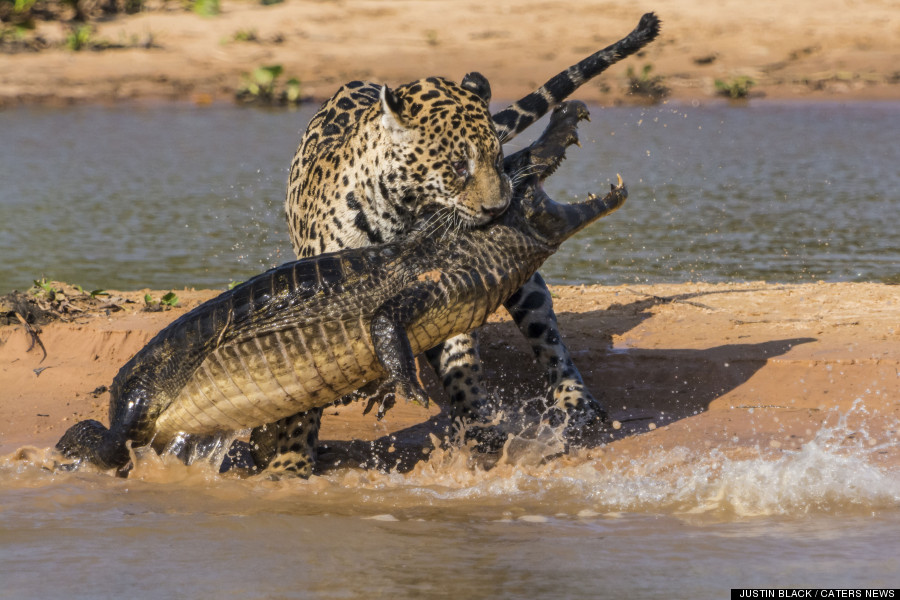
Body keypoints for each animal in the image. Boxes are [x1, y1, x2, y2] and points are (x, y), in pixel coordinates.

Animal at [250, 12, 661, 478]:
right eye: (457, 166)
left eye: (497, 158)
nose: (499, 208)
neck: (402, 215)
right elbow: (301, 394)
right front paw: (290, 463)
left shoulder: (449, 284)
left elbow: (460, 357)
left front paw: (477, 426)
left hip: (527, 289)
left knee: (550, 340)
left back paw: (575, 400)